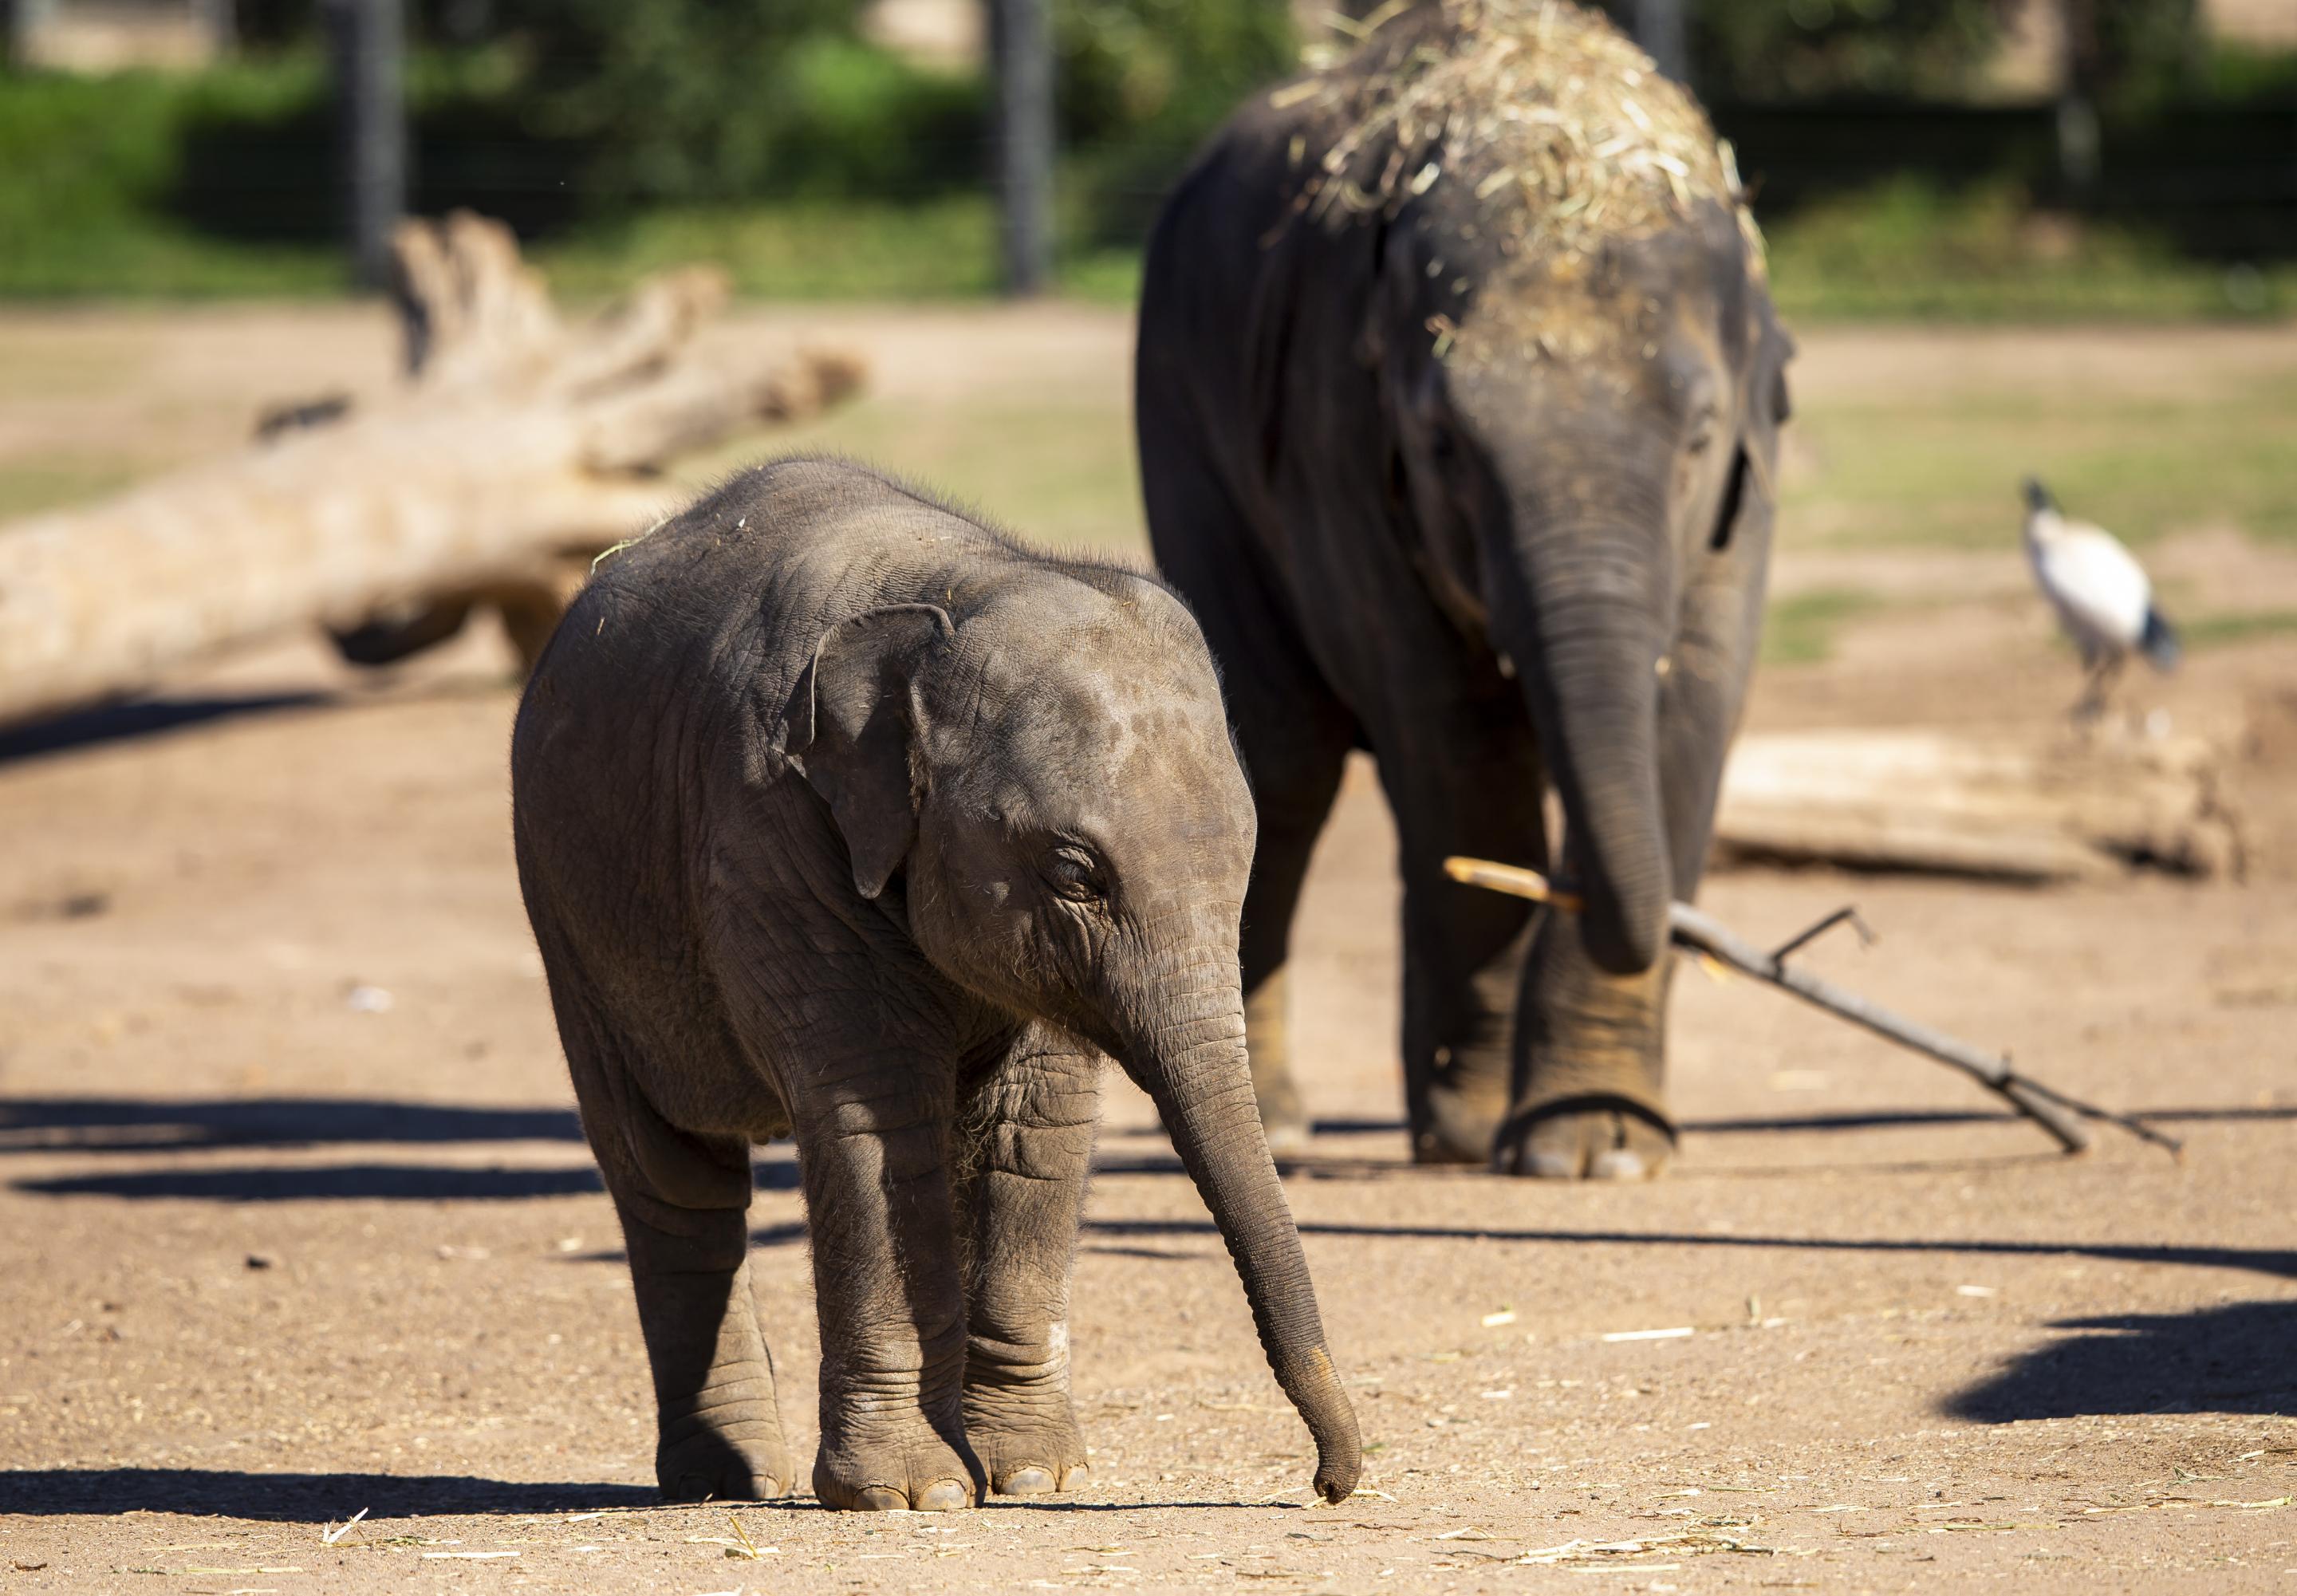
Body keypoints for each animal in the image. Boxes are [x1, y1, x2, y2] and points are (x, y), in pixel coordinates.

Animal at [509, 457, 1360, 1510]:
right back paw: (727, 1481)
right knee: (670, 1180)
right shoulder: (767, 831)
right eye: (1074, 871)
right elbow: (877, 1115)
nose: (1329, 1484)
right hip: (569, 922)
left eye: (1242, 858)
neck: (957, 591)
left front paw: (1033, 1478)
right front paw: (915, 1497)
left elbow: (1034, 1123)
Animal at [1135, 1, 1793, 1178]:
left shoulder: (1744, 501)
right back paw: (1287, 1125)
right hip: (1184, 435)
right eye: (1444, 445)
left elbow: (1691, 716)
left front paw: (1600, 1148)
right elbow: (1458, 742)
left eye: (1700, 439)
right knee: (1286, 764)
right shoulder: (1339, 450)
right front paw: (1488, 1129)